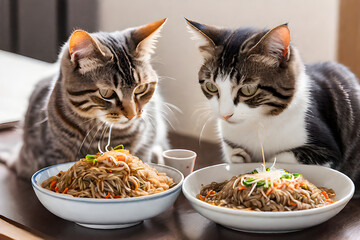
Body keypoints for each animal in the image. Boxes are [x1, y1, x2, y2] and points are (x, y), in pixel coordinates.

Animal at [186, 19, 360, 197]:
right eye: (211, 87)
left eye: (248, 89)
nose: (225, 115)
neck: (257, 122)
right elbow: (233, 154)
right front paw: (239, 157)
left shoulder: (327, 151)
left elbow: (279, 157)